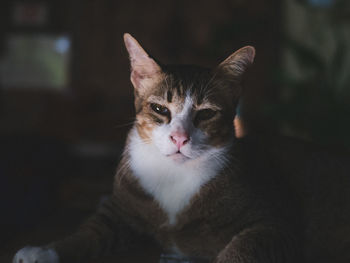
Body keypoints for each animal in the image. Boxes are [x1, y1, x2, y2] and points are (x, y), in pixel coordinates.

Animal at [12, 33, 350, 263]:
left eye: (206, 114)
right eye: (160, 109)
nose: (179, 138)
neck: (173, 176)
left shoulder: (274, 222)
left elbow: (243, 247)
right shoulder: (119, 212)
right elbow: (89, 232)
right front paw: (44, 251)